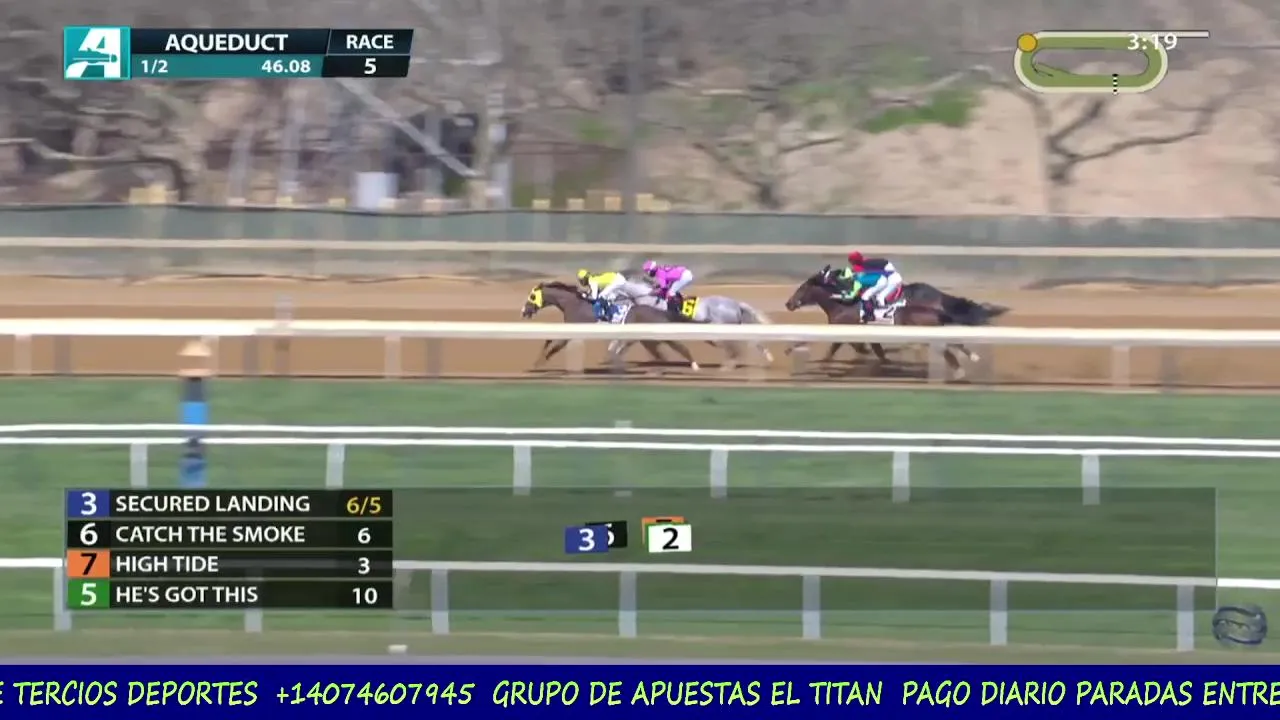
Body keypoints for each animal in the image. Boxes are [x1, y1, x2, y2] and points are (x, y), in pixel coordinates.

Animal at [520, 281, 700, 370]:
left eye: (531, 296)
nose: (523, 311)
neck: (574, 303)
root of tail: (659, 311)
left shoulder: (571, 330)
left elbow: (555, 346)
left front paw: (539, 363)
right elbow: (549, 340)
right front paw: (537, 362)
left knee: (680, 347)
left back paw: (695, 365)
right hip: (647, 341)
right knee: (660, 356)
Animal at [782, 270, 980, 379]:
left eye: (801, 288)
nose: (788, 304)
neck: (842, 304)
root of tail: (938, 295)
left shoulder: (841, 330)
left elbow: (828, 349)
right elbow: (878, 353)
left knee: (948, 347)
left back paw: (964, 366)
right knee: (951, 343)